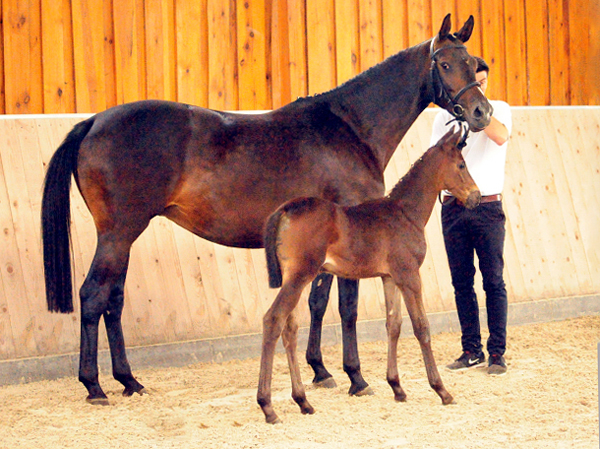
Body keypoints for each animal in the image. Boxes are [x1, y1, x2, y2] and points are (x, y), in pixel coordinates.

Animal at [258, 128, 482, 422]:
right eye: (461, 165)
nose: (476, 197)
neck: (404, 212)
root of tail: (285, 209)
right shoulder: (409, 276)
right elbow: (421, 327)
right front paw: (441, 390)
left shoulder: (390, 277)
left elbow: (393, 325)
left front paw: (397, 387)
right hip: (299, 277)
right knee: (273, 320)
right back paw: (267, 406)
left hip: (294, 279)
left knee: (289, 329)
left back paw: (303, 402)